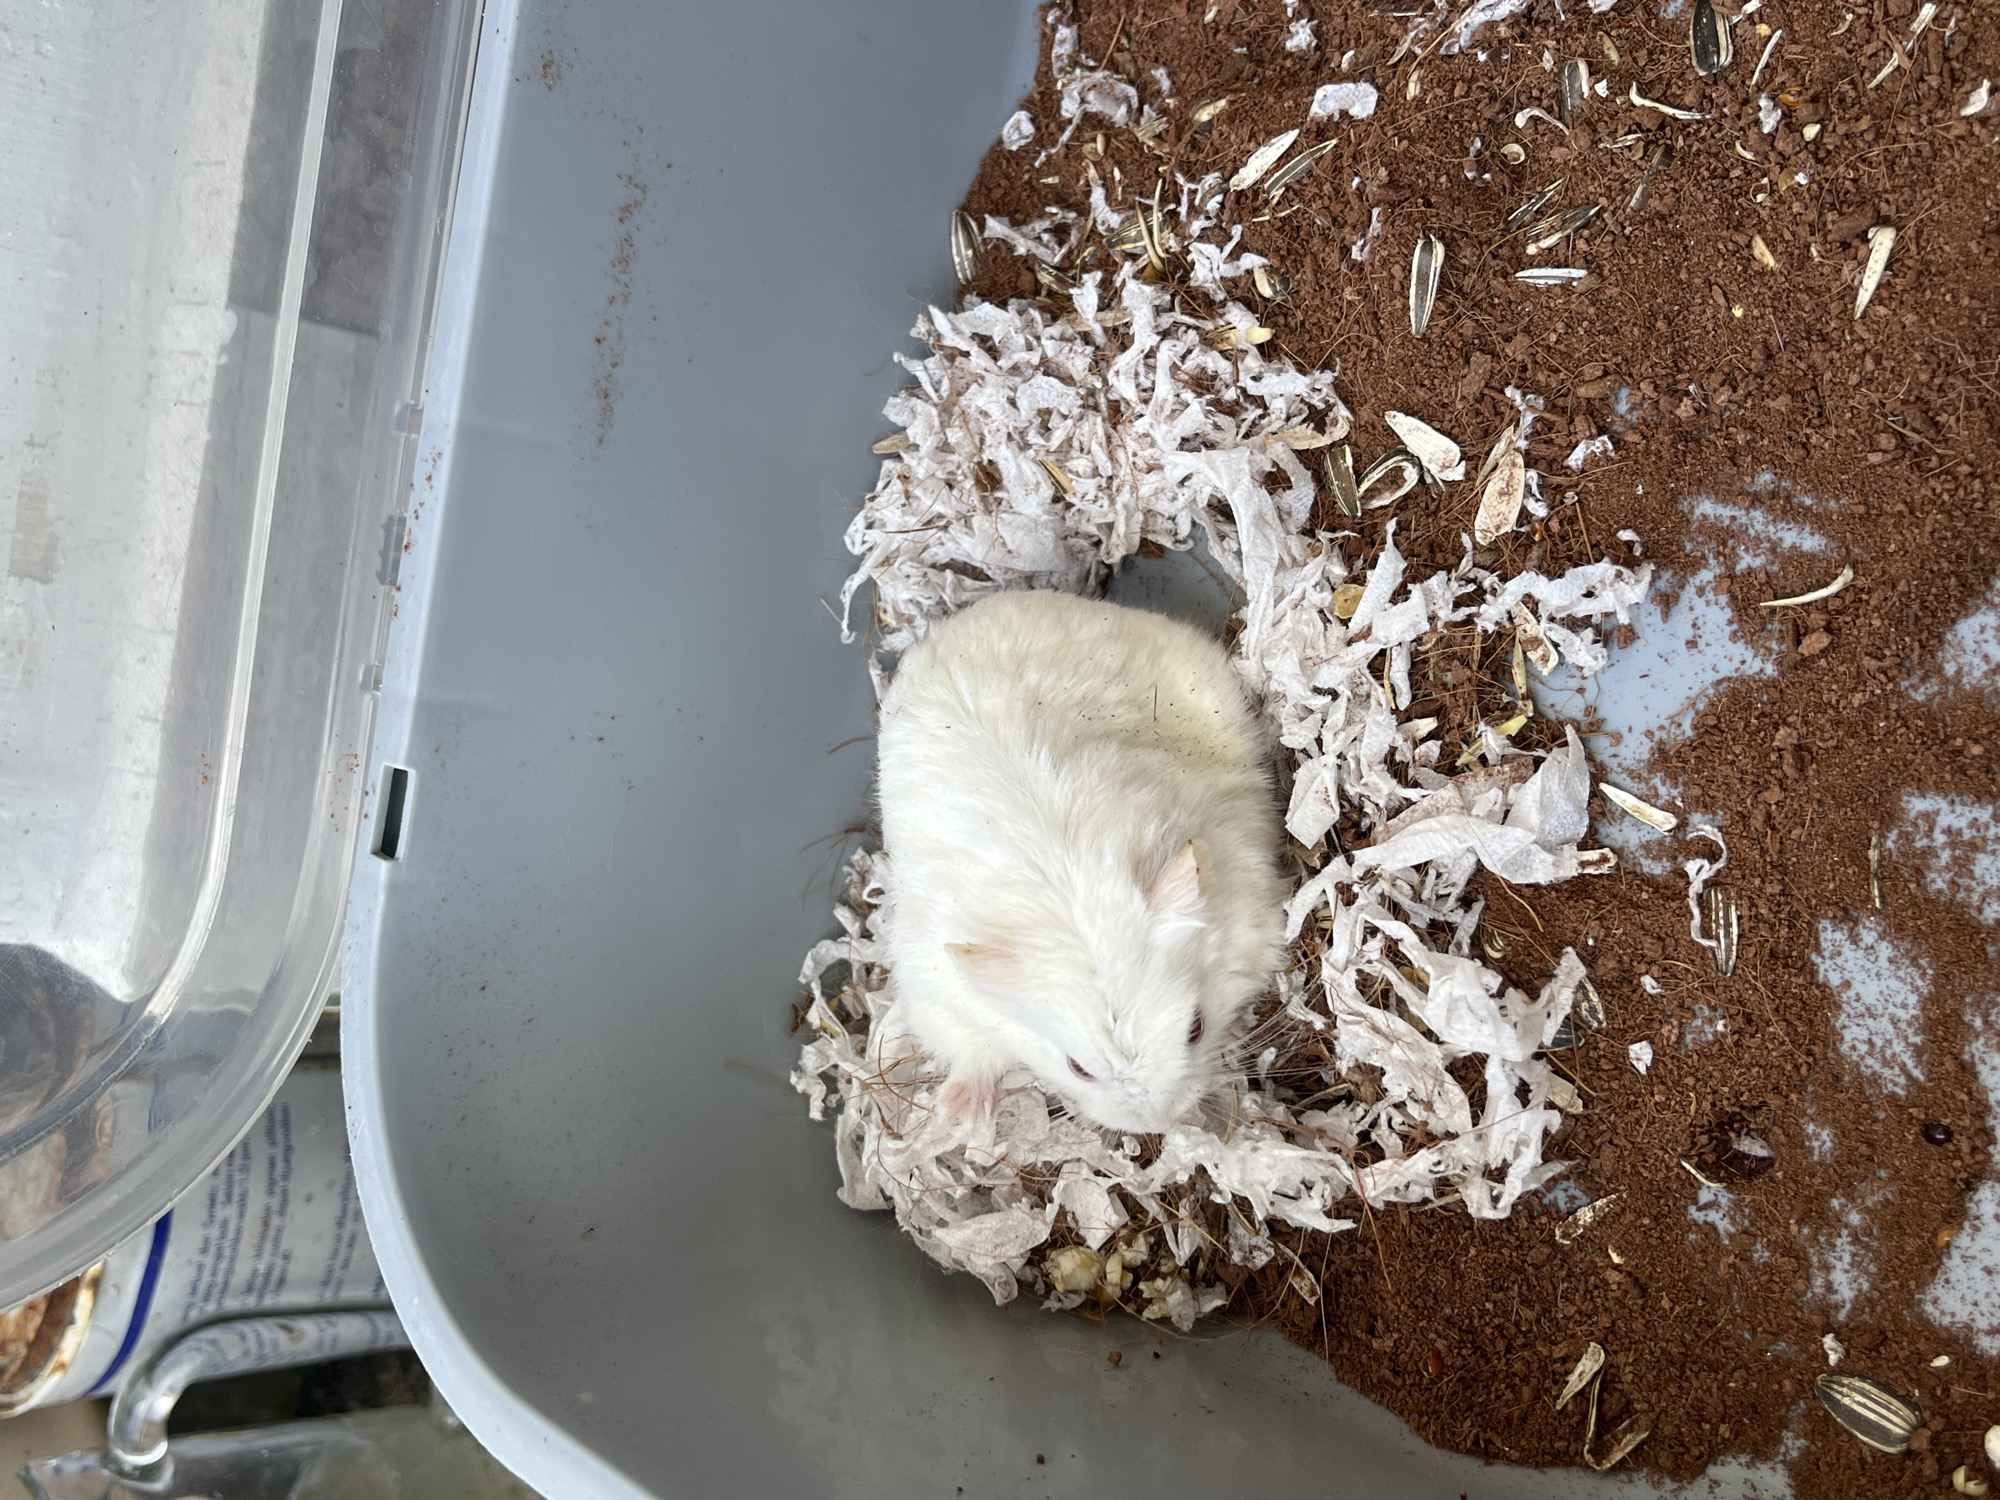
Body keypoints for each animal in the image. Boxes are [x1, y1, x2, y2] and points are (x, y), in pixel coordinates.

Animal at [876, 590, 1284, 1135]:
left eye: (1195, 1028)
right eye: (1078, 1068)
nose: (1159, 1124)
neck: (1072, 894)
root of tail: (988, 604)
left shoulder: (1254, 909)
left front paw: (1234, 1034)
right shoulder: (935, 990)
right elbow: (973, 1048)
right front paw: (961, 1117)